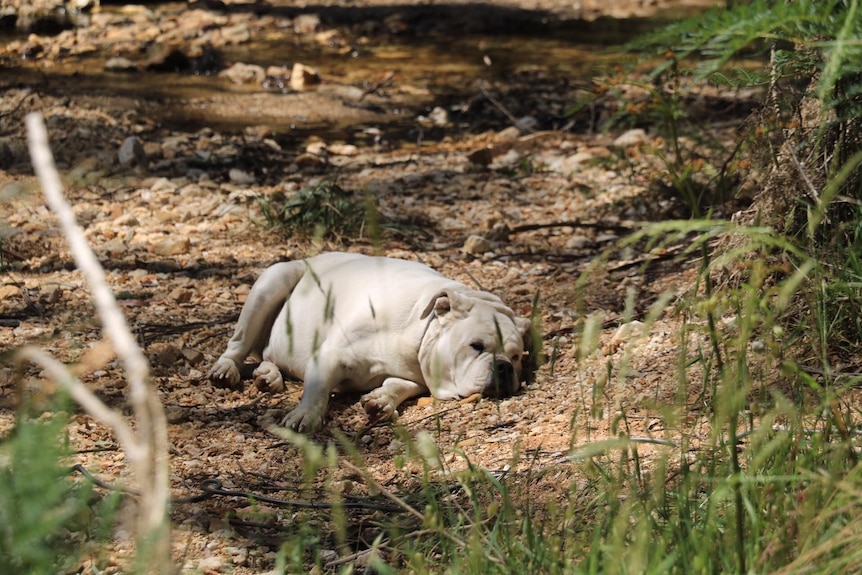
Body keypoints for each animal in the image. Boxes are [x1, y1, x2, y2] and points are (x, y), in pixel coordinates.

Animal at [208, 252, 532, 432]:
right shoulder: (329, 355)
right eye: (476, 346)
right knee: (238, 345)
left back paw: (268, 376)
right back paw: (227, 370)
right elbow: (317, 389)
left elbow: (399, 385)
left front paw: (381, 400)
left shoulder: (413, 376)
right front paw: (305, 415)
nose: (503, 367)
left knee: (267, 357)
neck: (419, 330)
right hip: (272, 282)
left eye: (517, 357)